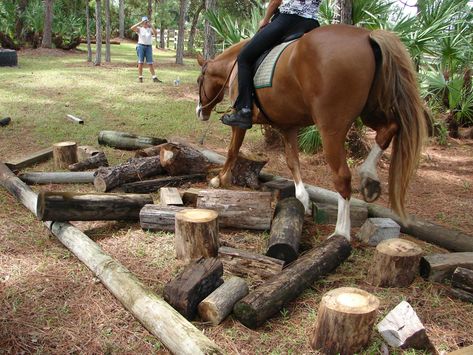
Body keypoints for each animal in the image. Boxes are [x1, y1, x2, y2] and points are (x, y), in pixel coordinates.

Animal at [194, 25, 426, 242]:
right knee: (389, 129)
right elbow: (292, 161)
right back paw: (369, 178)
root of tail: (366, 36)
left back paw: (341, 232)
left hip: (331, 129)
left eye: (199, 81)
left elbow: (232, 150)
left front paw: (219, 180)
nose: (199, 111)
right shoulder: (288, 127)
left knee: (342, 176)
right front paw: (303, 199)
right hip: (371, 110)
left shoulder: (241, 124)